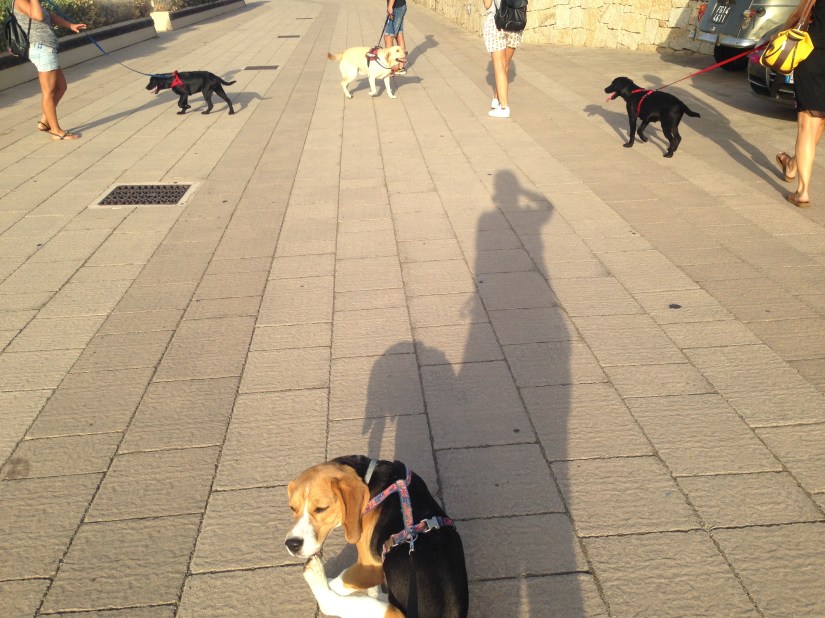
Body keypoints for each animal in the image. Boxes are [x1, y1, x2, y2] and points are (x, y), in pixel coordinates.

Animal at [285, 455, 469, 618]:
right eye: (292, 508)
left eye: (321, 508)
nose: (292, 544)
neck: (371, 478)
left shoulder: (369, 567)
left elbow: (341, 579)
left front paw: (331, 583)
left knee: (329, 603)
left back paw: (316, 574)